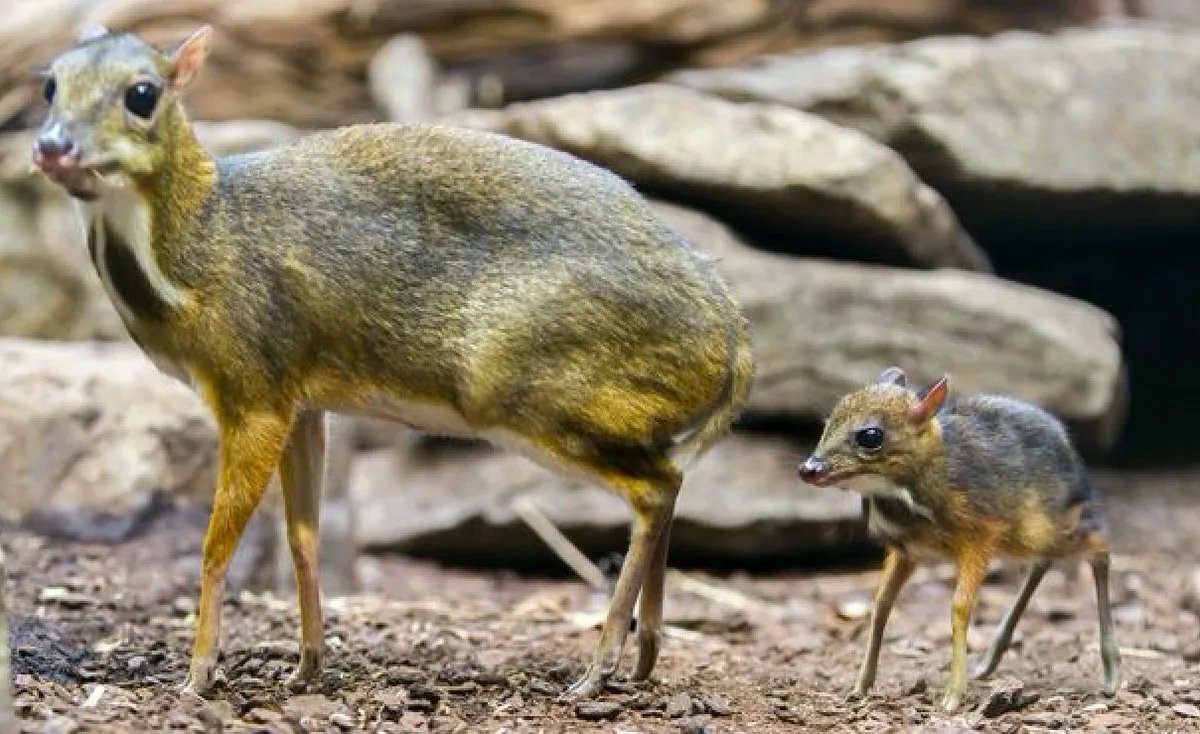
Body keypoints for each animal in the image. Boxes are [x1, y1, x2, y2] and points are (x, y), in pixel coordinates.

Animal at [35, 25, 748, 695]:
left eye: (142, 94)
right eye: (49, 85)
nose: (52, 147)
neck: (199, 248)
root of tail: (733, 337)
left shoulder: (253, 391)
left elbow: (215, 547)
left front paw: (199, 674)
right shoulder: (302, 401)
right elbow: (303, 535)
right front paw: (307, 666)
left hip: (530, 394)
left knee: (654, 489)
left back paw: (599, 668)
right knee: (670, 482)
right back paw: (645, 656)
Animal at [801, 367, 1118, 710]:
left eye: (870, 436)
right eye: (828, 422)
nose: (808, 469)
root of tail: (1078, 470)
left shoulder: (979, 536)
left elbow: (960, 607)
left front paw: (952, 697)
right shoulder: (908, 551)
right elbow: (882, 603)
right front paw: (859, 687)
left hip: (1041, 528)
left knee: (1099, 546)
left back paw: (1113, 673)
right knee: (1043, 562)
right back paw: (988, 662)